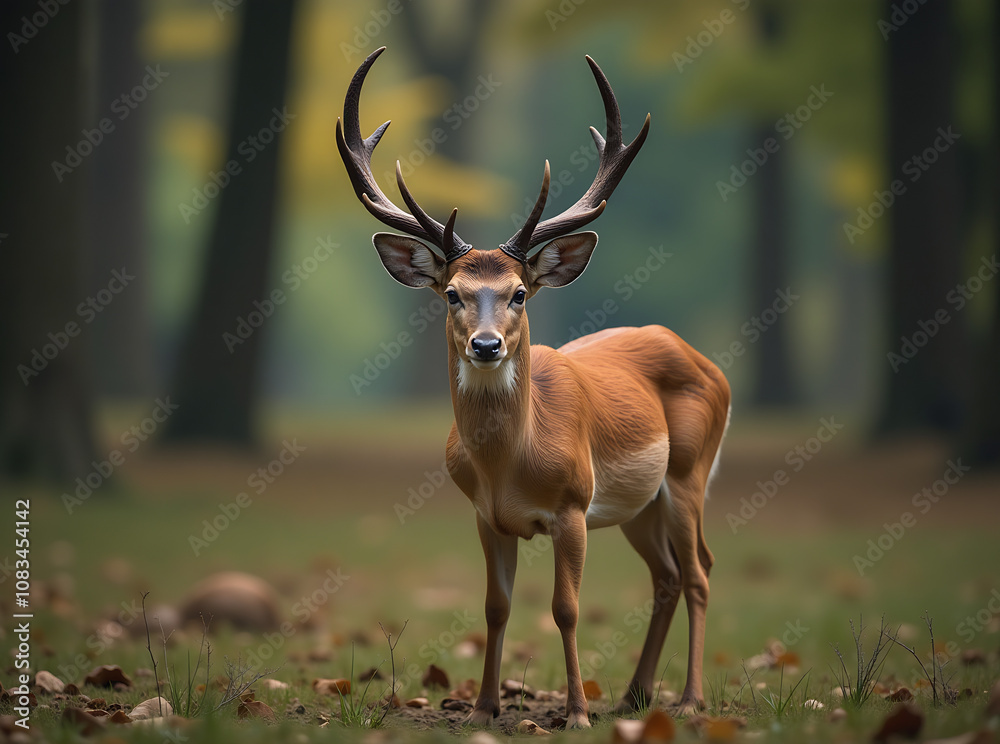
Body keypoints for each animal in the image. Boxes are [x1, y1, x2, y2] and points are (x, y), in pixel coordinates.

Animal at [337, 47, 731, 728]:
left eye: (519, 292)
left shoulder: (573, 505)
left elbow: (565, 609)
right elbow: (495, 608)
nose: (486, 345)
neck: (509, 466)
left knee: (700, 571)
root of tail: (708, 363)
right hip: (639, 503)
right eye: (452, 293)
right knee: (667, 577)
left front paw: (574, 712)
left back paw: (688, 699)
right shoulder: (484, 516)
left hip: (687, 472)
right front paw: (482, 708)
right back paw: (633, 695)